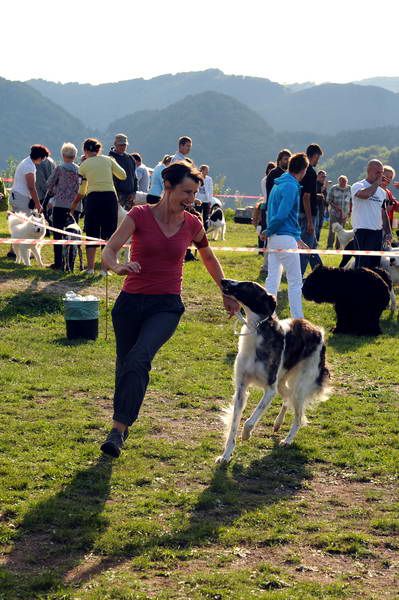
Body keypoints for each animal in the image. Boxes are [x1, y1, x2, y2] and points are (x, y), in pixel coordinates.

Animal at [217, 282, 330, 464]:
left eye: (248, 285)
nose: (224, 281)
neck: (257, 331)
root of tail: (317, 330)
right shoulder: (241, 388)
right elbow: (234, 426)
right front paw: (226, 455)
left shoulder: (270, 389)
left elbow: (249, 421)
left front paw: (246, 435)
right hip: (283, 382)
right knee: (287, 399)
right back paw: (278, 423)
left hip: (299, 386)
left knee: (298, 416)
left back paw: (288, 440)